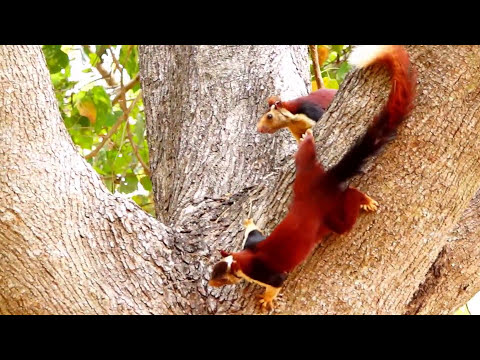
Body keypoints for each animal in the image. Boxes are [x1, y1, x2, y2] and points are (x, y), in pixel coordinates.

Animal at [210, 44, 416, 310]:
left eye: (222, 278)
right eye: (213, 271)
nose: (211, 283)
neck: (246, 258)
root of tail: (323, 183)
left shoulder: (266, 271)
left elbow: (276, 283)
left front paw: (267, 299)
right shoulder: (253, 242)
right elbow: (253, 231)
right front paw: (248, 221)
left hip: (335, 217)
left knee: (347, 207)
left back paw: (364, 199)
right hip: (305, 174)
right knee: (306, 156)